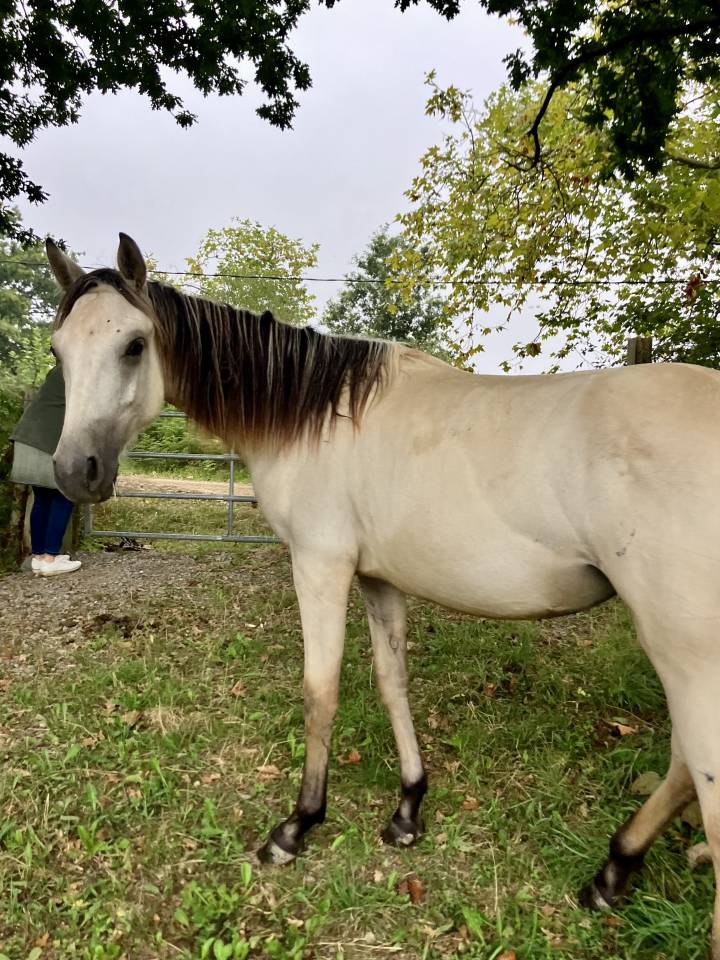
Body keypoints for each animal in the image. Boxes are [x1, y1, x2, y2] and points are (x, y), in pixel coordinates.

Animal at [46, 234, 720, 957]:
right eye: (58, 350)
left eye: (133, 345)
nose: (75, 471)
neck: (317, 418)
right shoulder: (378, 579)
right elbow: (392, 680)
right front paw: (407, 809)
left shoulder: (320, 565)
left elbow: (321, 691)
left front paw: (297, 826)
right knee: (685, 763)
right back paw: (613, 870)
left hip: (684, 649)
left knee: (702, 771)